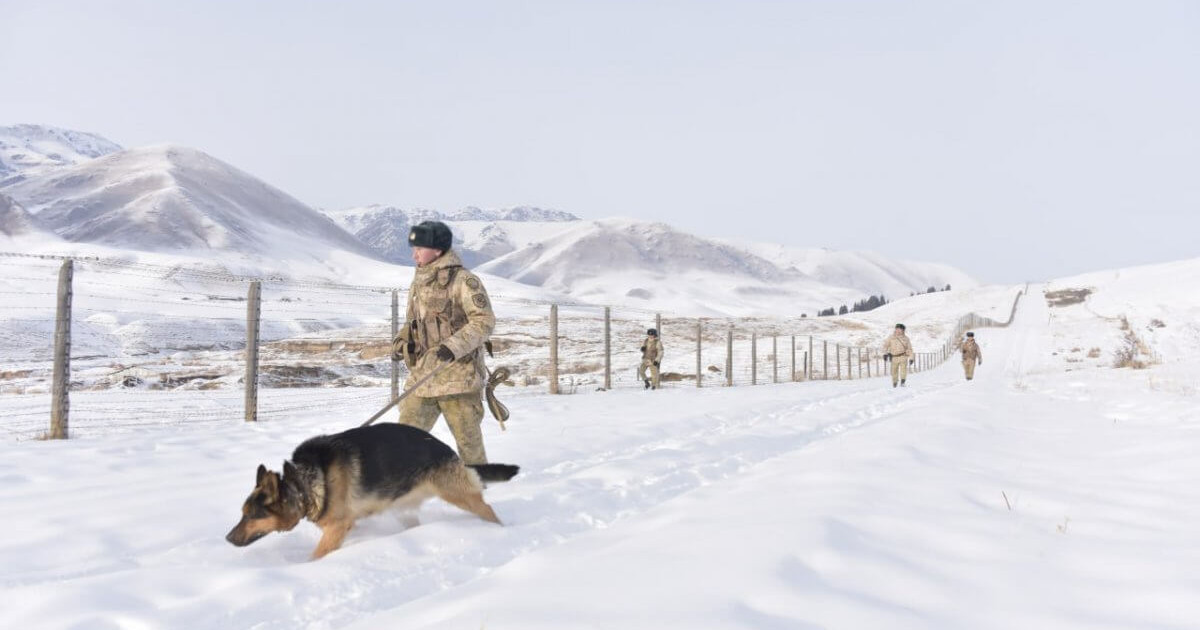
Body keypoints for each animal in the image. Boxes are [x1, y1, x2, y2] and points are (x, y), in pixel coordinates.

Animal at [226, 424, 518, 556]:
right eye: (242, 513)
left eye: (252, 515)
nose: (227, 539)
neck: (302, 482)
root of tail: (449, 451)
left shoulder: (336, 529)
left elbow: (316, 556)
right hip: (405, 509)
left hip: (458, 494)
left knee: (488, 509)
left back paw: (502, 532)